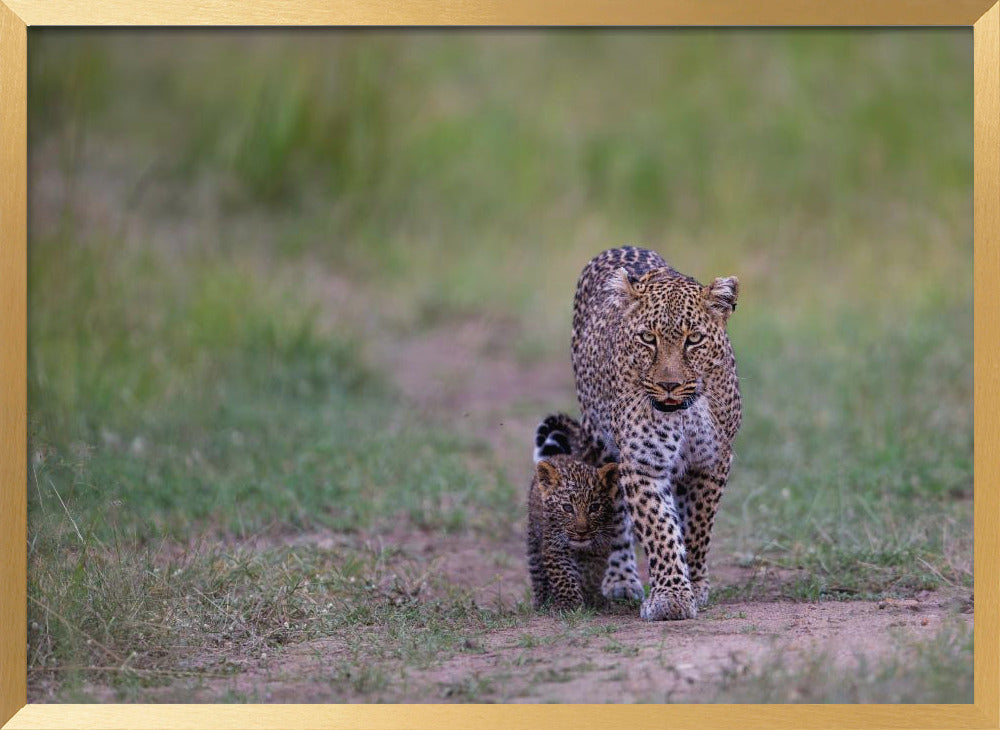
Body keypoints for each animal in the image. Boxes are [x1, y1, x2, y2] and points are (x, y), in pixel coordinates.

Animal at [572, 246, 744, 620]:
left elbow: (696, 528)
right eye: (648, 338)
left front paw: (694, 585)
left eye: (693, 340)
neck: (684, 412)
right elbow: (659, 529)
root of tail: (621, 246)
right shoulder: (642, 463)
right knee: (615, 513)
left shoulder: (711, 462)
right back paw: (621, 579)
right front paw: (671, 598)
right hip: (599, 442)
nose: (669, 385)